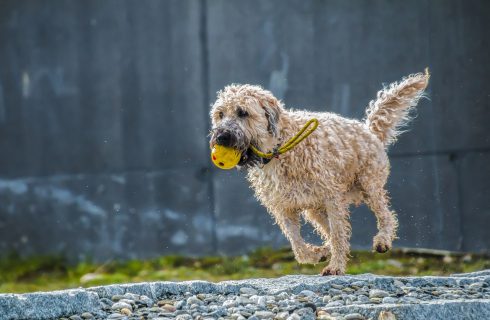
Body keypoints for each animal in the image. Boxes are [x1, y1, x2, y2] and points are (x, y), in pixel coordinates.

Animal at [210, 70, 428, 276]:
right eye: (220, 114)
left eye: (243, 112)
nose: (221, 137)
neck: (280, 148)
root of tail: (368, 131)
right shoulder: (283, 207)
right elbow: (297, 244)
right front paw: (317, 254)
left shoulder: (332, 199)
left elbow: (338, 235)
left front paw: (336, 266)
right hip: (315, 209)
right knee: (333, 230)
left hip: (369, 185)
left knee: (385, 215)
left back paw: (383, 240)